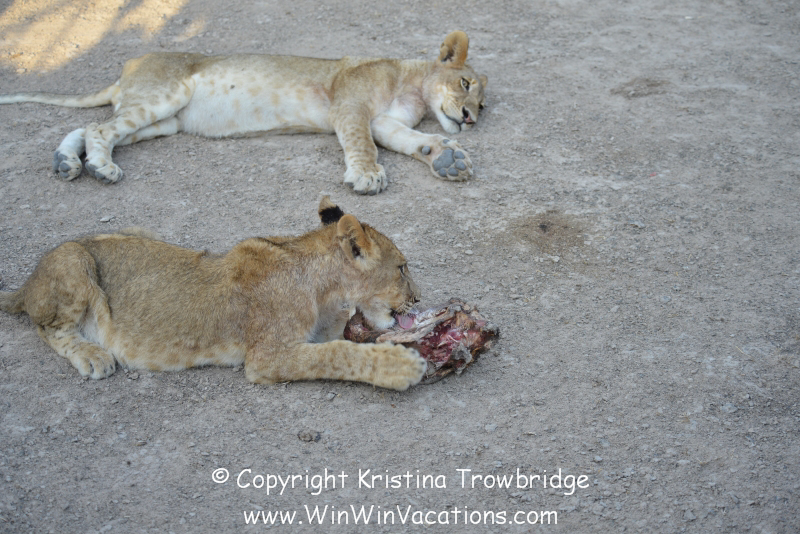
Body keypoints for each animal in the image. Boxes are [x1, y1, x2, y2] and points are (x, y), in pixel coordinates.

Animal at [0, 31, 488, 195]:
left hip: (163, 122)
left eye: (483, 105)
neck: (414, 88)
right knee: (100, 129)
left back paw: (67, 163)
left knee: (89, 125)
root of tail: (128, 69)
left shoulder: (385, 121)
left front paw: (445, 157)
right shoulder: (349, 106)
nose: (470, 119)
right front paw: (367, 176)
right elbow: (362, 144)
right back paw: (100, 168)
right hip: (164, 96)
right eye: (465, 84)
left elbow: (409, 140)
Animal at [0, 197, 427, 390]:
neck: (324, 288)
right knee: (48, 328)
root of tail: (27, 282)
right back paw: (92, 355)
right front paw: (401, 365)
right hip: (74, 259)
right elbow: (339, 354)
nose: (419, 299)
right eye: (402, 268)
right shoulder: (268, 356)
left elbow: (340, 337)